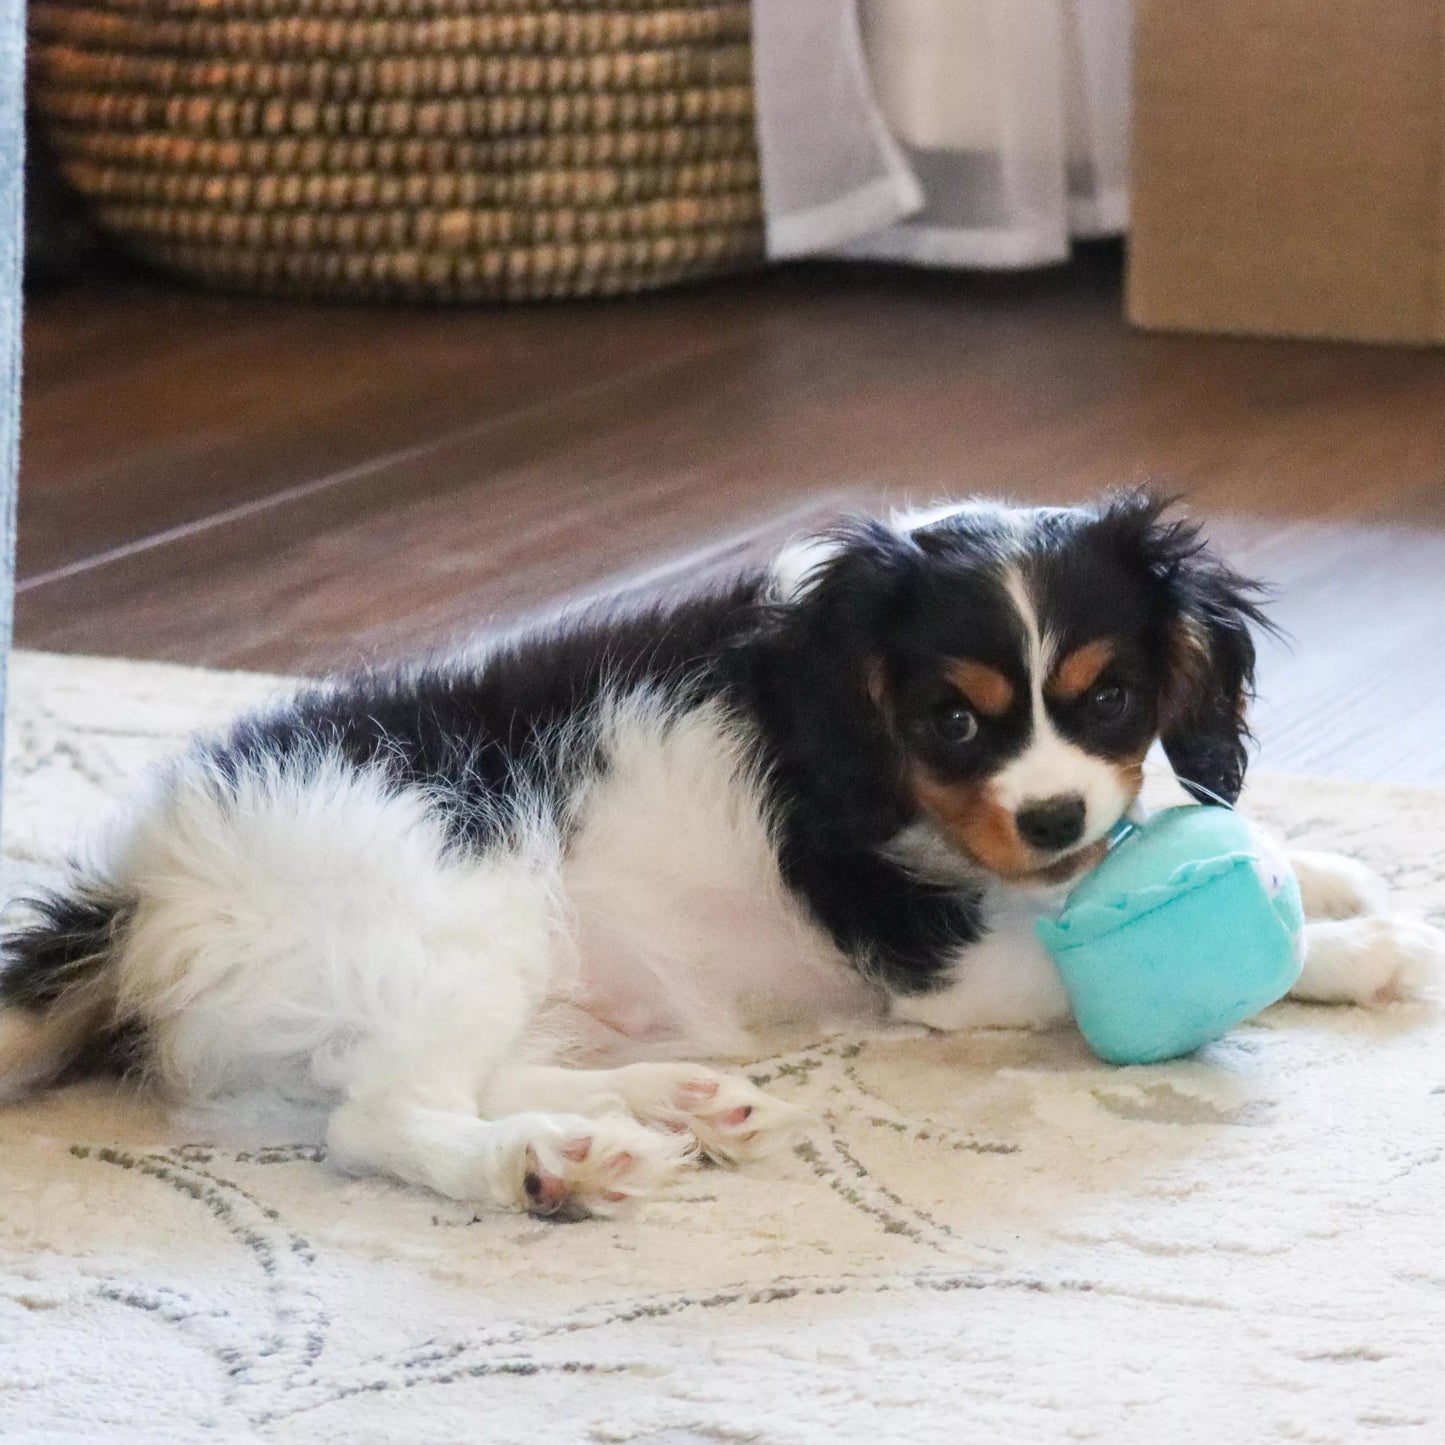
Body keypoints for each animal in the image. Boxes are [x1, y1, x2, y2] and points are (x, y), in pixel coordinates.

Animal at [0, 491, 1433, 1213]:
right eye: (951, 720)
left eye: (1111, 697)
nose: (1051, 824)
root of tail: (138, 889)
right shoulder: (933, 953)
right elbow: (1079, 961)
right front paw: (1353, 946)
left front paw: (1316, 866)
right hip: (445, 908)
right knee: (378, 1115)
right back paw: (544, 1164)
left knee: (454, 1075)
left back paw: (667, 1104)